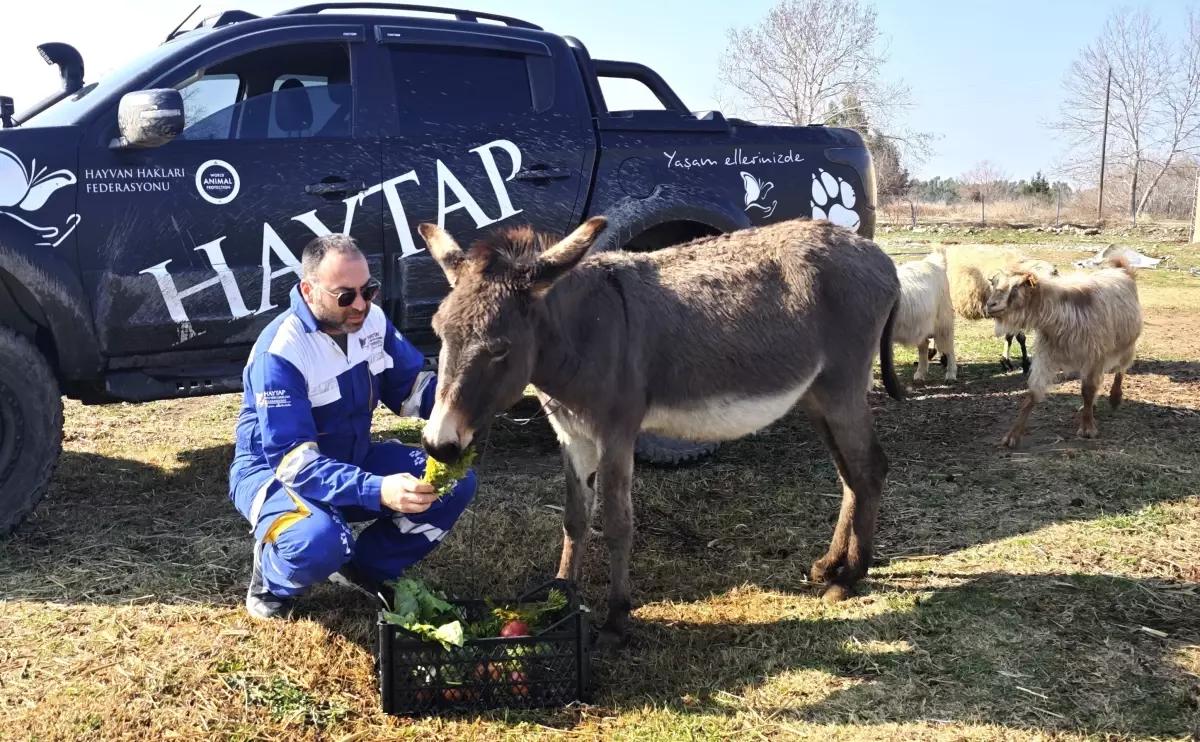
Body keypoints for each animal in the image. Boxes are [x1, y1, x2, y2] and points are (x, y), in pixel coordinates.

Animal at [417, 214, 902, 648]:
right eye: (438, 332)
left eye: (499, 349)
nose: (440, 445)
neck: (585, 332)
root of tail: (878, 255)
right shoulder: (572, 437)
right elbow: (574, 520)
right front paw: (560, 599)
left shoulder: (616, 433)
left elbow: (616, 523)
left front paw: (616, 620)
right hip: (816, 395)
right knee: (849, 474)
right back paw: (830, 564)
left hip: (842, 388)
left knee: (870, 469)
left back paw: (850, 577)